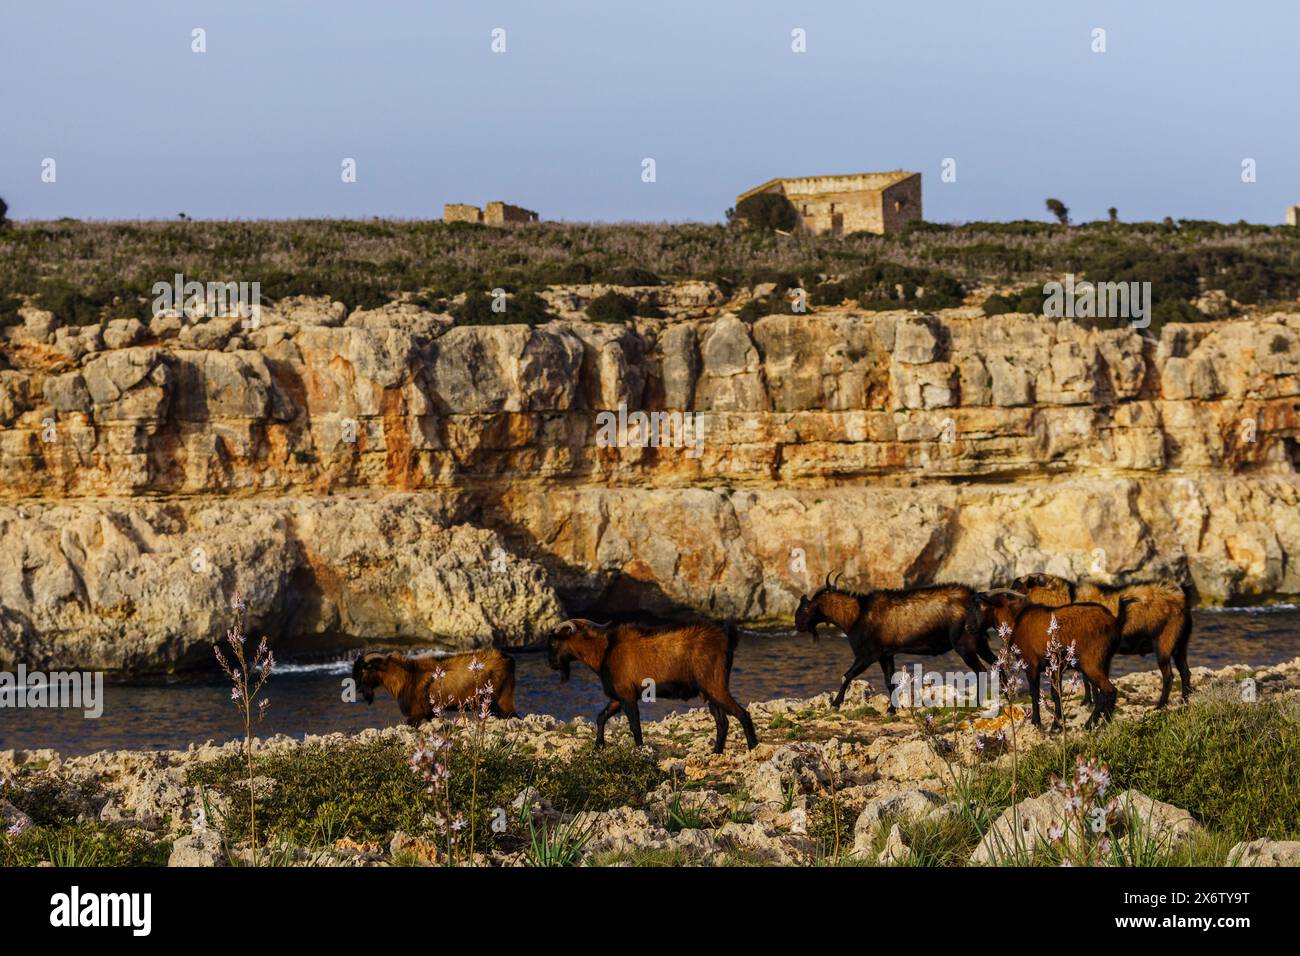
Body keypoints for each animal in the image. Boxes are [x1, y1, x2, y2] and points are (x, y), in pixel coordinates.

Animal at [356, 650, 522, 723]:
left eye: (363, 670)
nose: (358, 689)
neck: (407, 677)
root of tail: (508, 659)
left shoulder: (416, 714)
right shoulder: (430, 713)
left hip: (503, 698)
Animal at [543, 621, 759, 754]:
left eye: (553, 642)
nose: (551, 664)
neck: (604, 651)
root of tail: (726, 640)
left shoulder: (627, 696)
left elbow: (634, 726)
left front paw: (640, 750)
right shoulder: (618, 697)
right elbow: (601, 717)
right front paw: (598, 746)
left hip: (715, 684)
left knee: (742, 714)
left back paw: (753, 748)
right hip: (709, 691)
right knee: (723, 721)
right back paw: (715, 752)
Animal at [790, 574, 993, 712]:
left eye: (805, 608)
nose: (798, 625)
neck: (854, 616)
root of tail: (974, 597)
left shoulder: (868, 654)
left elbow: (846, 675)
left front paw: (835, 704)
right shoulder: (886, 654)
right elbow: (889, 682)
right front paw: (892, 709)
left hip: (964, 642)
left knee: (981, 670)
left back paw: (977, 703)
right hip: (980, 642)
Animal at [977, 595, 1128, 728]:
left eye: (983, 607)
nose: (975, 627)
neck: (1016, 621)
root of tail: (1115, 622)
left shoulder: (1031, 665)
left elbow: (1035, 693)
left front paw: (1036, 722)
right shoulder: (1055, 667)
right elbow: (1056, 694)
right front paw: (1057, 723)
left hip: (1091, 663)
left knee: (1110, 690)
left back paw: (1099, 724)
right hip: (1105, 662)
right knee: (1103, 693)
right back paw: (1099, 722)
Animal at [1008, 572, 1190, 707]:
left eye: (1017, 584)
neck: (1068, 599)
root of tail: (1181, 598)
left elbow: (1090, 681)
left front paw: (1093, 703)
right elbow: (1086, 681)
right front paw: (1087, 702)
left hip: (1164, 642)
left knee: (1169, 676)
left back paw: (1161, 705)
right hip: (1179, 644)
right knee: (1185, 672)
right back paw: (1185, 701)